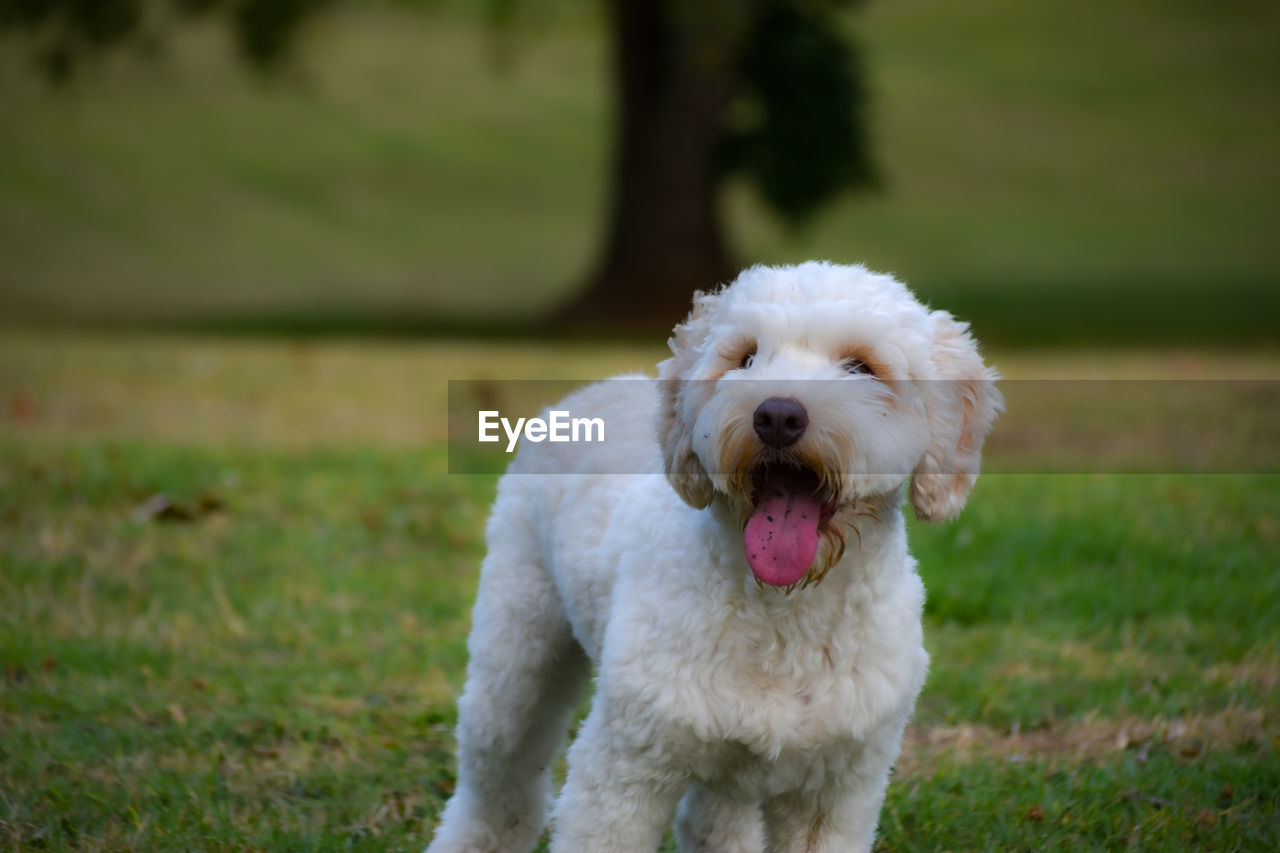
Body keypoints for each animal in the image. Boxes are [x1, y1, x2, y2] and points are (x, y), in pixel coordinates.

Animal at [427, 261, 998, 850]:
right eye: (745, 357)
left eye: (862, 366)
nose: (777, 416)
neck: (783, 612)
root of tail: (596, 388)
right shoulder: (622, 771)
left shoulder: (836, 790)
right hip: (515, 658)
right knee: (498, 785)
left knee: (710, 818)